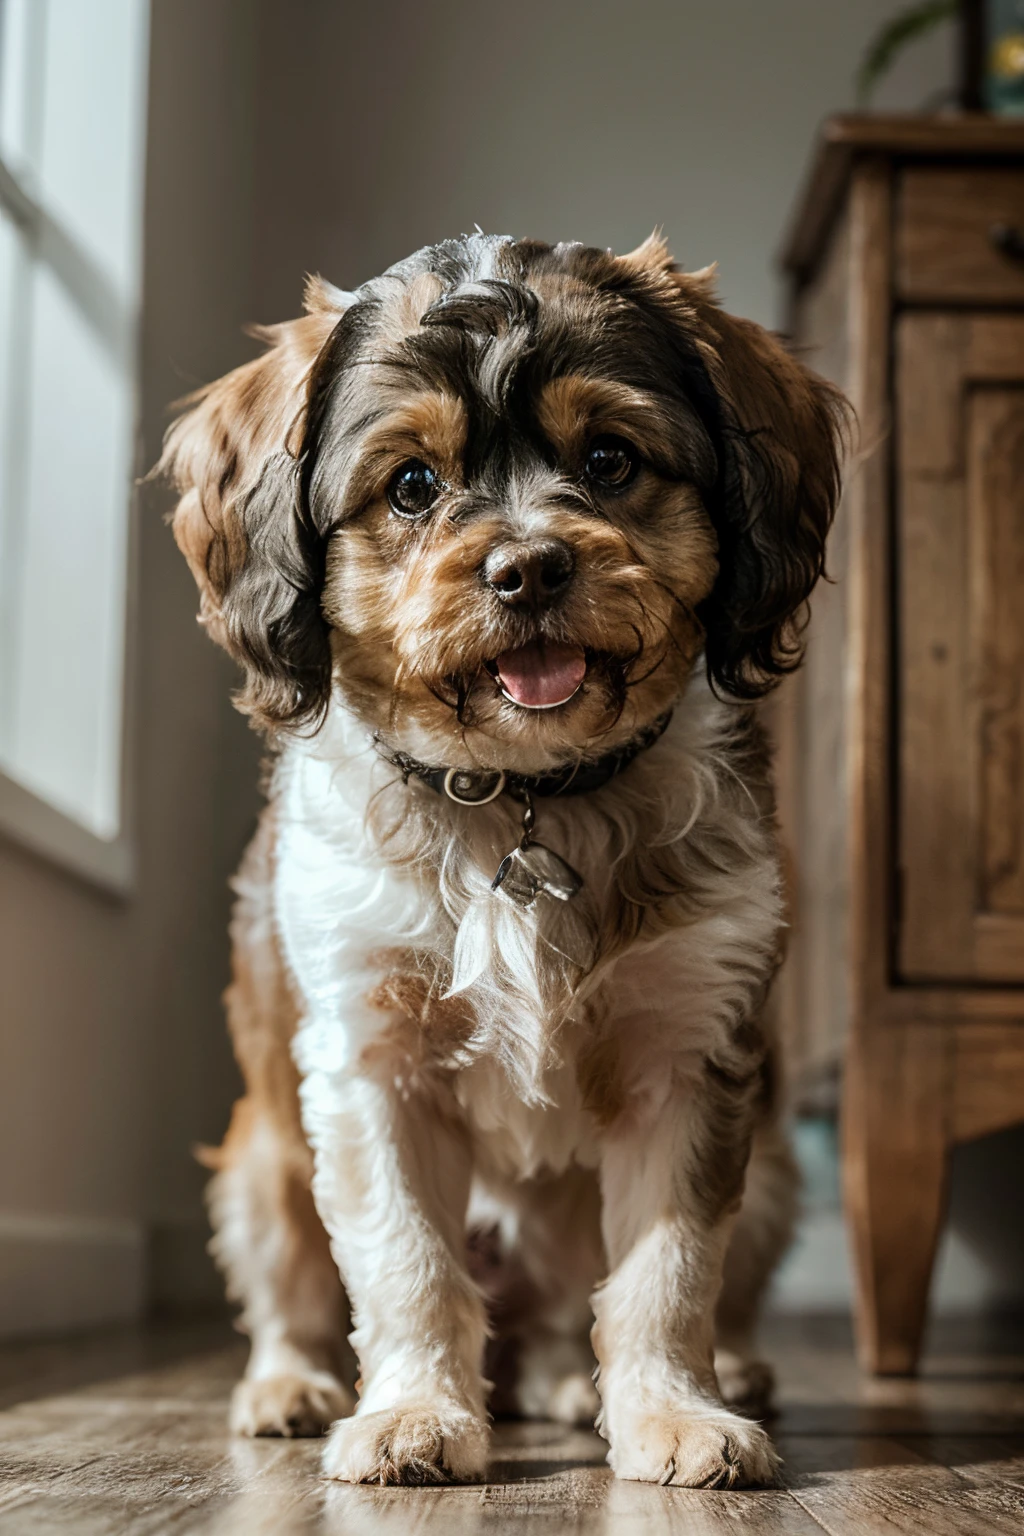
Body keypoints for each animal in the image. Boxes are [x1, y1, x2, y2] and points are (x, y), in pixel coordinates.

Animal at [160, 230, 847, 1486]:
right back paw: (291, 1388)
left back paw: (616, 1383)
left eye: (611, 460)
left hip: (773, 1169)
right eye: (412, 487)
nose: (527, 567)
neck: (523, 798)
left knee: (584, 1316)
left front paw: (674, 1413)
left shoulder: (691, 1056)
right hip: (260, 1168)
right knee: (294, 1296)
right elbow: (406, 1263)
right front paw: (413, 1417)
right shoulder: (369, 1064)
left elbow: (669, 1272)